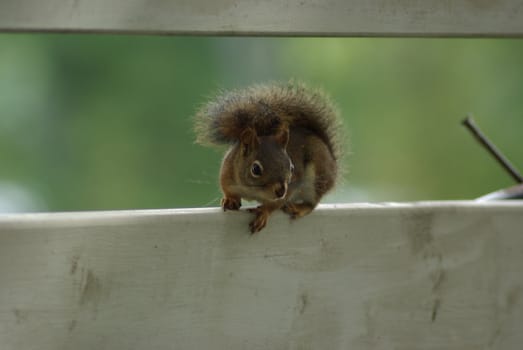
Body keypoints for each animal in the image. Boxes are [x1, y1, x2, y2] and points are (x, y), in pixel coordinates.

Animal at [194, 82, 346, 234]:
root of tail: (333, 163)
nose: (281, 191)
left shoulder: (289, 189)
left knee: (312, 203)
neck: (253, 190)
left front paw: (264, 212)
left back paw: (299, 208)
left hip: (317, 177)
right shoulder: (227, 172)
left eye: (292, 167)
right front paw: (230, 200)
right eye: (255, 169)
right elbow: (227, 189)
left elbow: (276, 204)